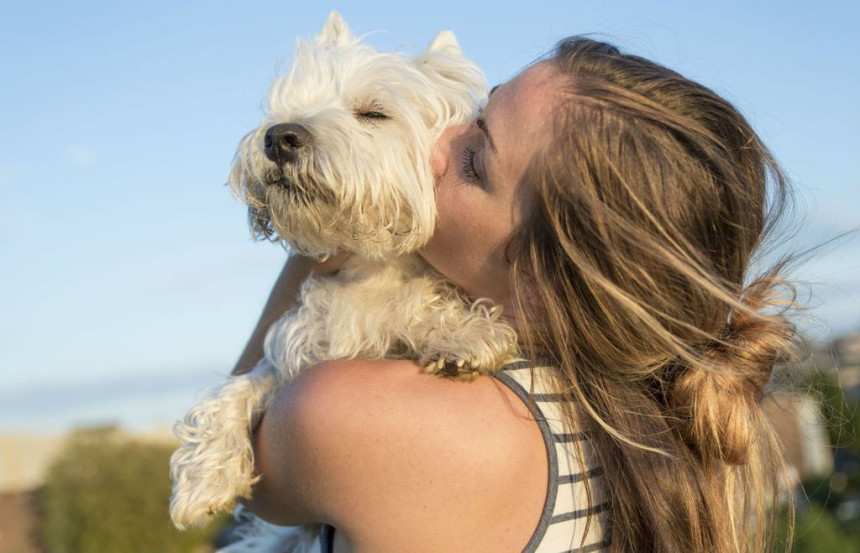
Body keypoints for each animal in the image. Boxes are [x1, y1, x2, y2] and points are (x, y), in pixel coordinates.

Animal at [169, 12, 516, 548]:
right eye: (289, 104)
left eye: (373, 113)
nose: (279, 137)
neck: (371, 269)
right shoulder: (296, 354)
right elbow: (236, 389)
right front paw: (204, 479)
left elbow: (426, 305)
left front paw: (465, 335)